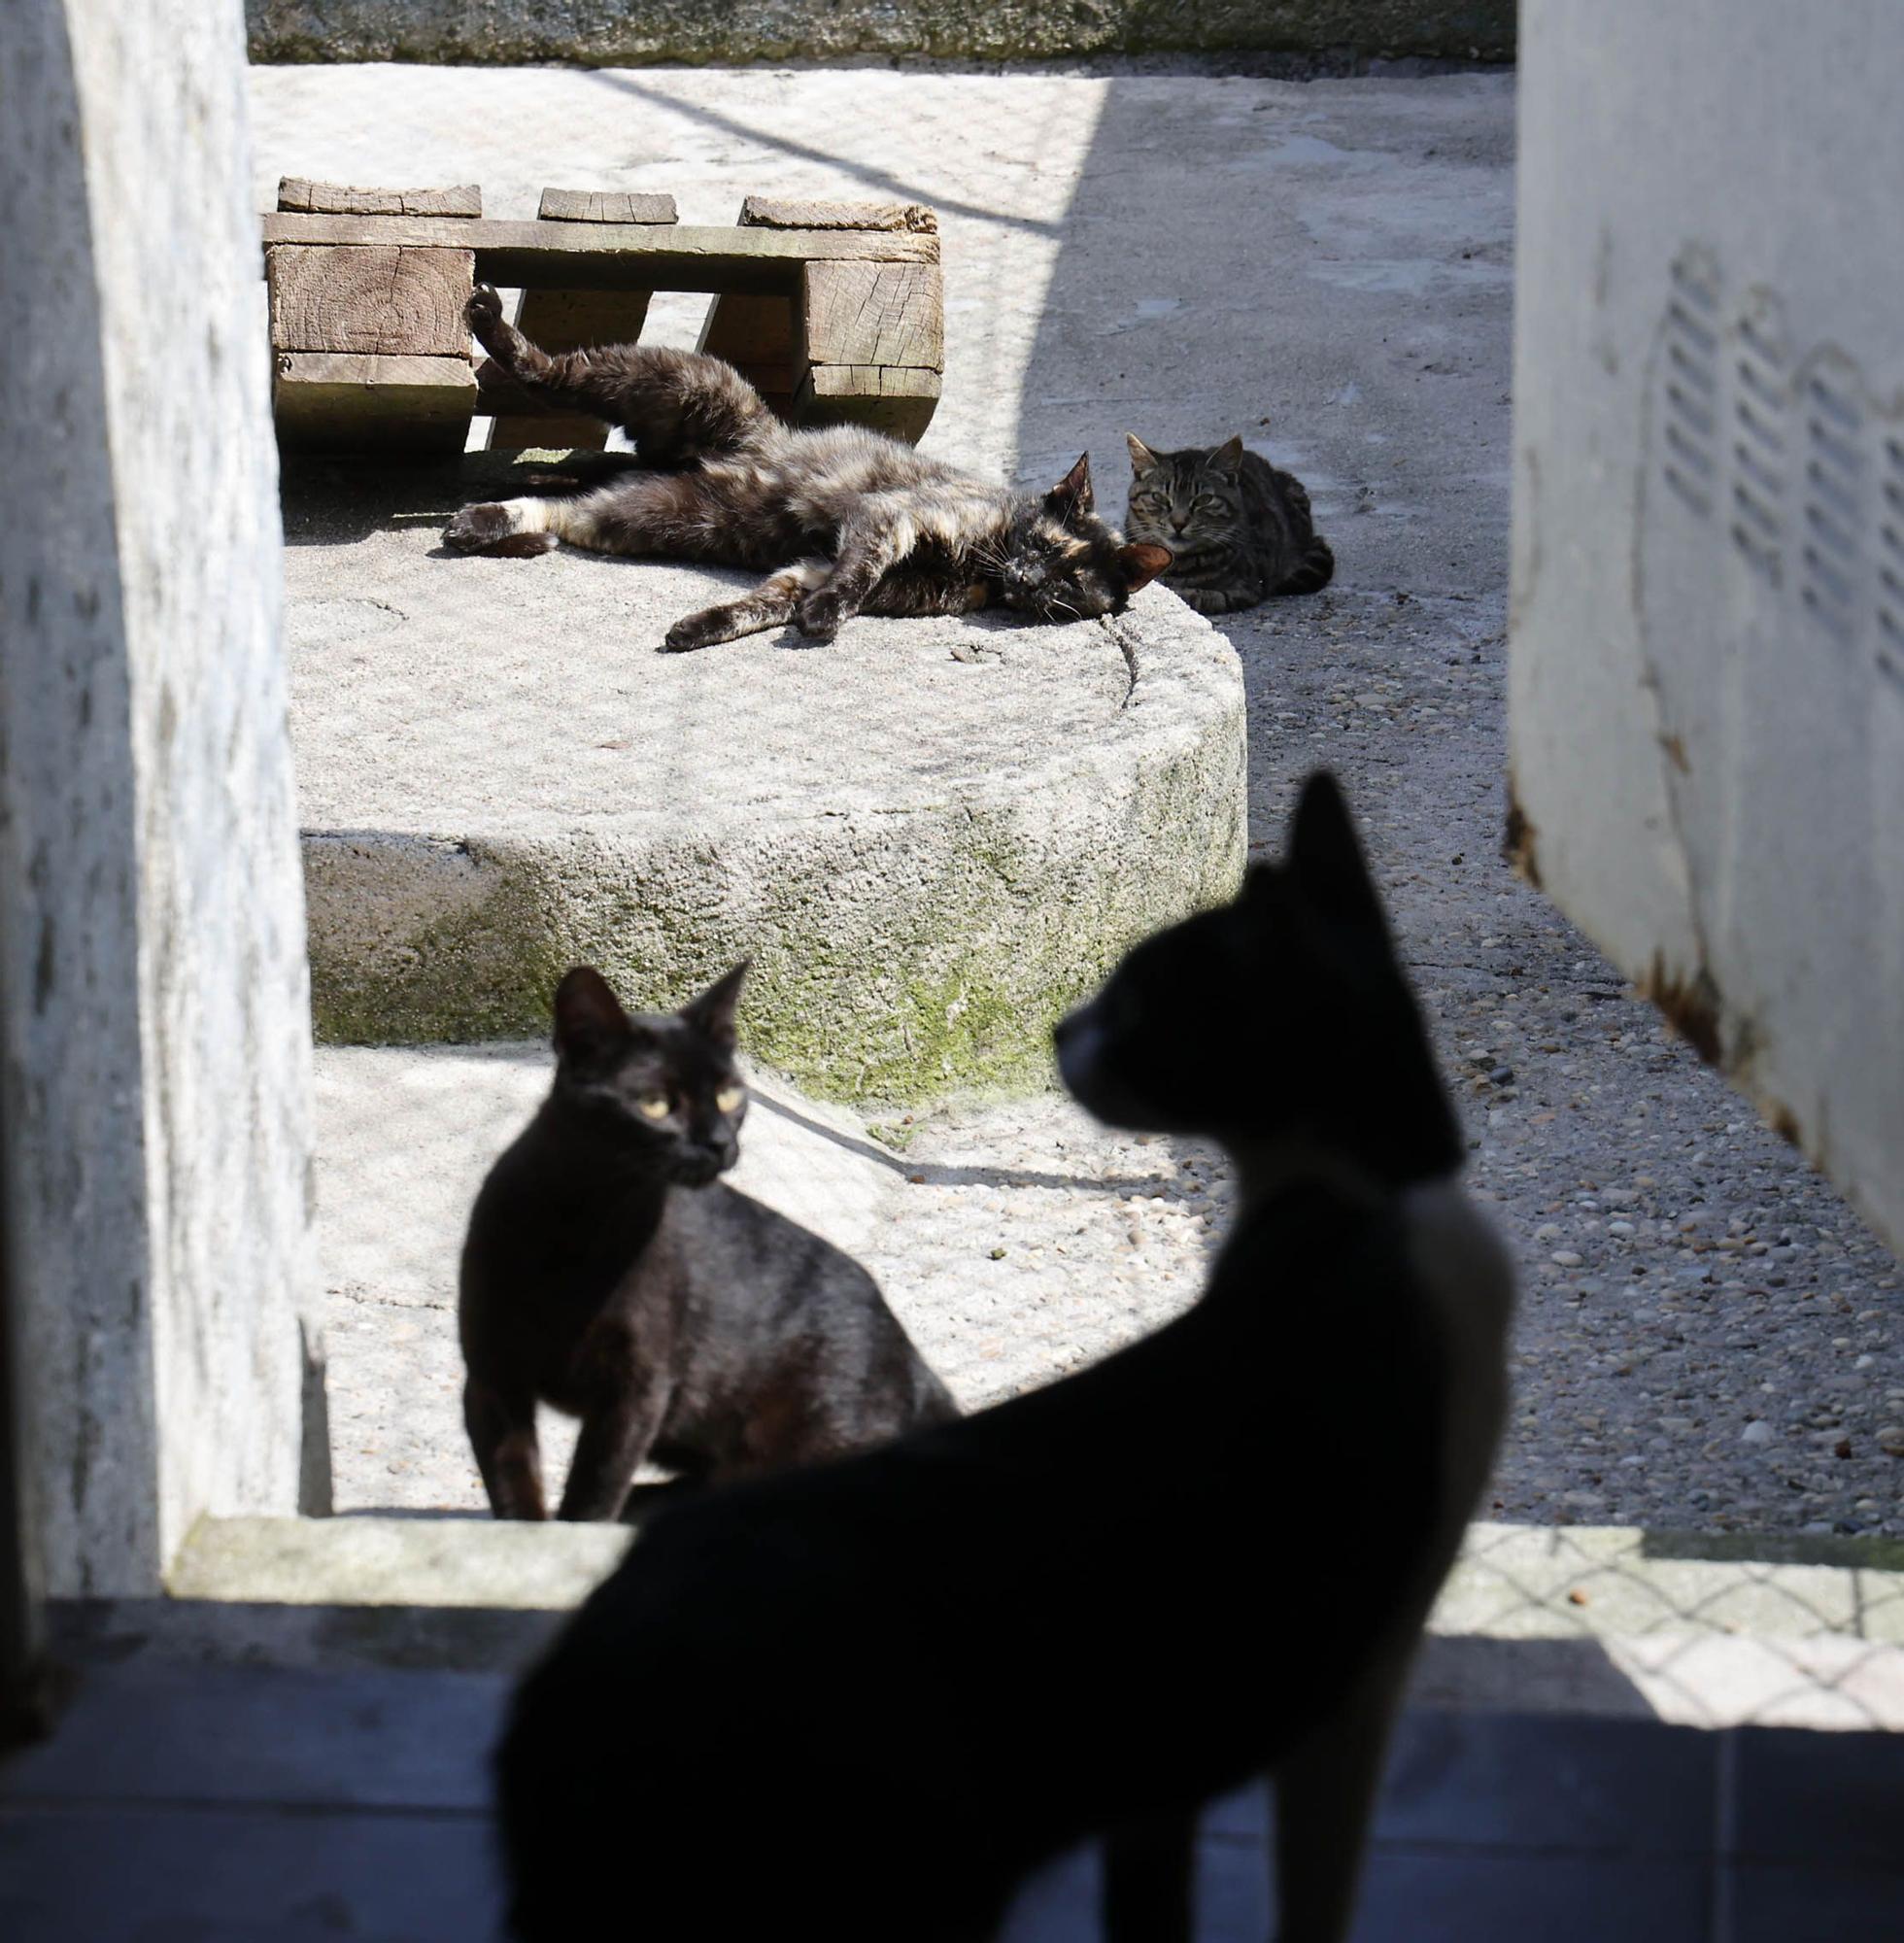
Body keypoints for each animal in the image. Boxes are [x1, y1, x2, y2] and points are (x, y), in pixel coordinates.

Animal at [451, 284, 1173, 645]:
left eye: (1071, 581)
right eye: (1043, 546)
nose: (1030, 579)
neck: (983, 563)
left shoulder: (822, 568)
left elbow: (767, 603)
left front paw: (702, 628)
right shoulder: (887, 520)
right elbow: (855, 576)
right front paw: (824, 621)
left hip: (662, 516)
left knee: (566, 511)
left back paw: (486, 522)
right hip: (679, 382)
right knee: (553, 374)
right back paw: (490, 324)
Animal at [460, 964, 952, 1523]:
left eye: (729, 1097)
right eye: (654, 1105)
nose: (720, 1142)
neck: (583, 1224)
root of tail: (918, 1365)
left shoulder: (637, 1390)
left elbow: (593, 1493)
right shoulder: (491, 1374)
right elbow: (514, 1490)